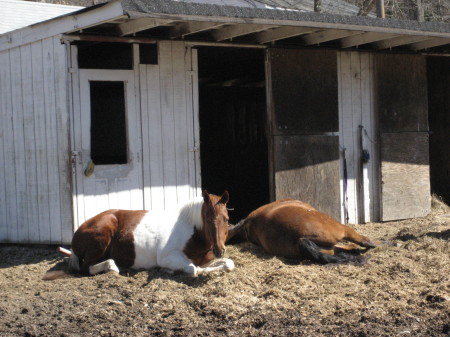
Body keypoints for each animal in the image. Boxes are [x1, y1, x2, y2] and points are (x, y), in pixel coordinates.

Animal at [227, 198, 378, 264]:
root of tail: (300, 240)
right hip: (337, 227)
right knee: (352, 235)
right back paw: (368, 244)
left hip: (328, 246)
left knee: (341, 247)